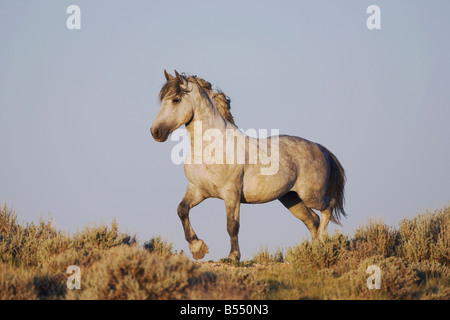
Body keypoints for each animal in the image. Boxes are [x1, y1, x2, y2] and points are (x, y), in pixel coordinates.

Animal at [149, 69, 346, 260]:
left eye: (176, 100)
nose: (155, 132)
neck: (211, 148)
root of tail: (320, 148)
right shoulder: (197, 189)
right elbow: (182, 210)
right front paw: (198, 249)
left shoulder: (231, 193)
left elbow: (232, 225)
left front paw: (233, 256)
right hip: (291, 198)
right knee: (312, 220)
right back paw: (315, 250)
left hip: (311, 196)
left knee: (328, 207)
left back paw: (322, 244)